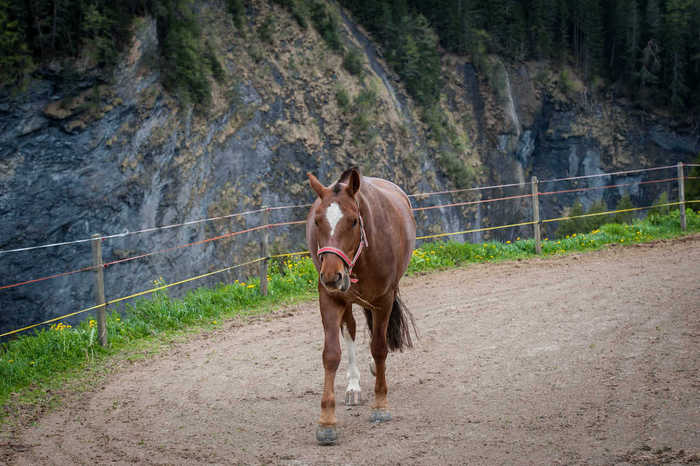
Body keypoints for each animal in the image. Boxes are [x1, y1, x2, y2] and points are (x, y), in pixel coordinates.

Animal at [304, 167, 416, 444]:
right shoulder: (330, 298)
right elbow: (331, 354)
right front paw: (327, 421)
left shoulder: (384, 299)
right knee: (351, 330)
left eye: (354, 221)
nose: (331, 275)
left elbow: (379, 348)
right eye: (317, 222)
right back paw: (354, 384)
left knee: (377, 336)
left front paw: (381, 405)